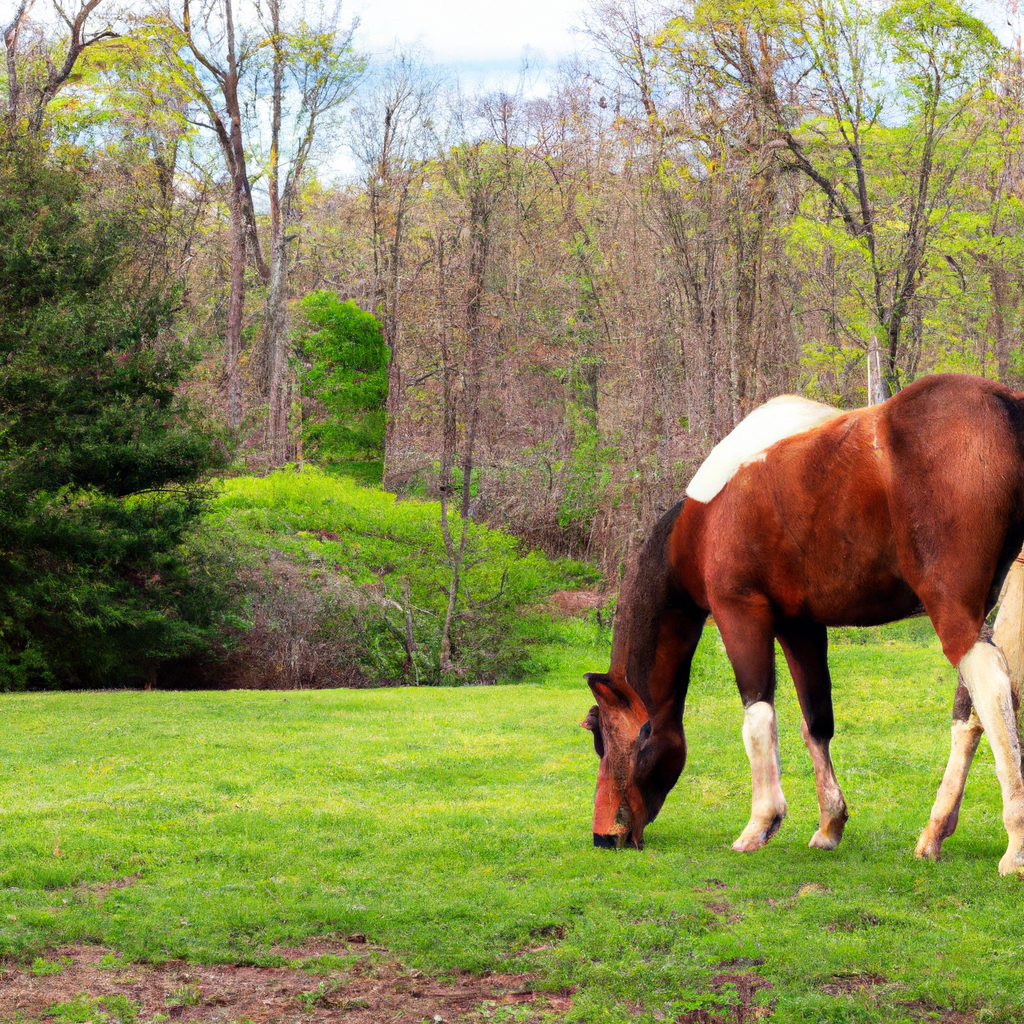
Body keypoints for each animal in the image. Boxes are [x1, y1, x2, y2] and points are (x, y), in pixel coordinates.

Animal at [585, 374, 1024, 872]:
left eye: (610, 741)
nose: (605, 836)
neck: (703, 522)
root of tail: (1006, 404)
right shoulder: (800, 626)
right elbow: (816, 719)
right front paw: (830, 824)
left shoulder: (740, 613)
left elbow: (758, 715)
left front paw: (761, 823)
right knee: (979, 708)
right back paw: (935, 834)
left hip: (954, 611)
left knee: (991, 692)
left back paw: (1013, 844)